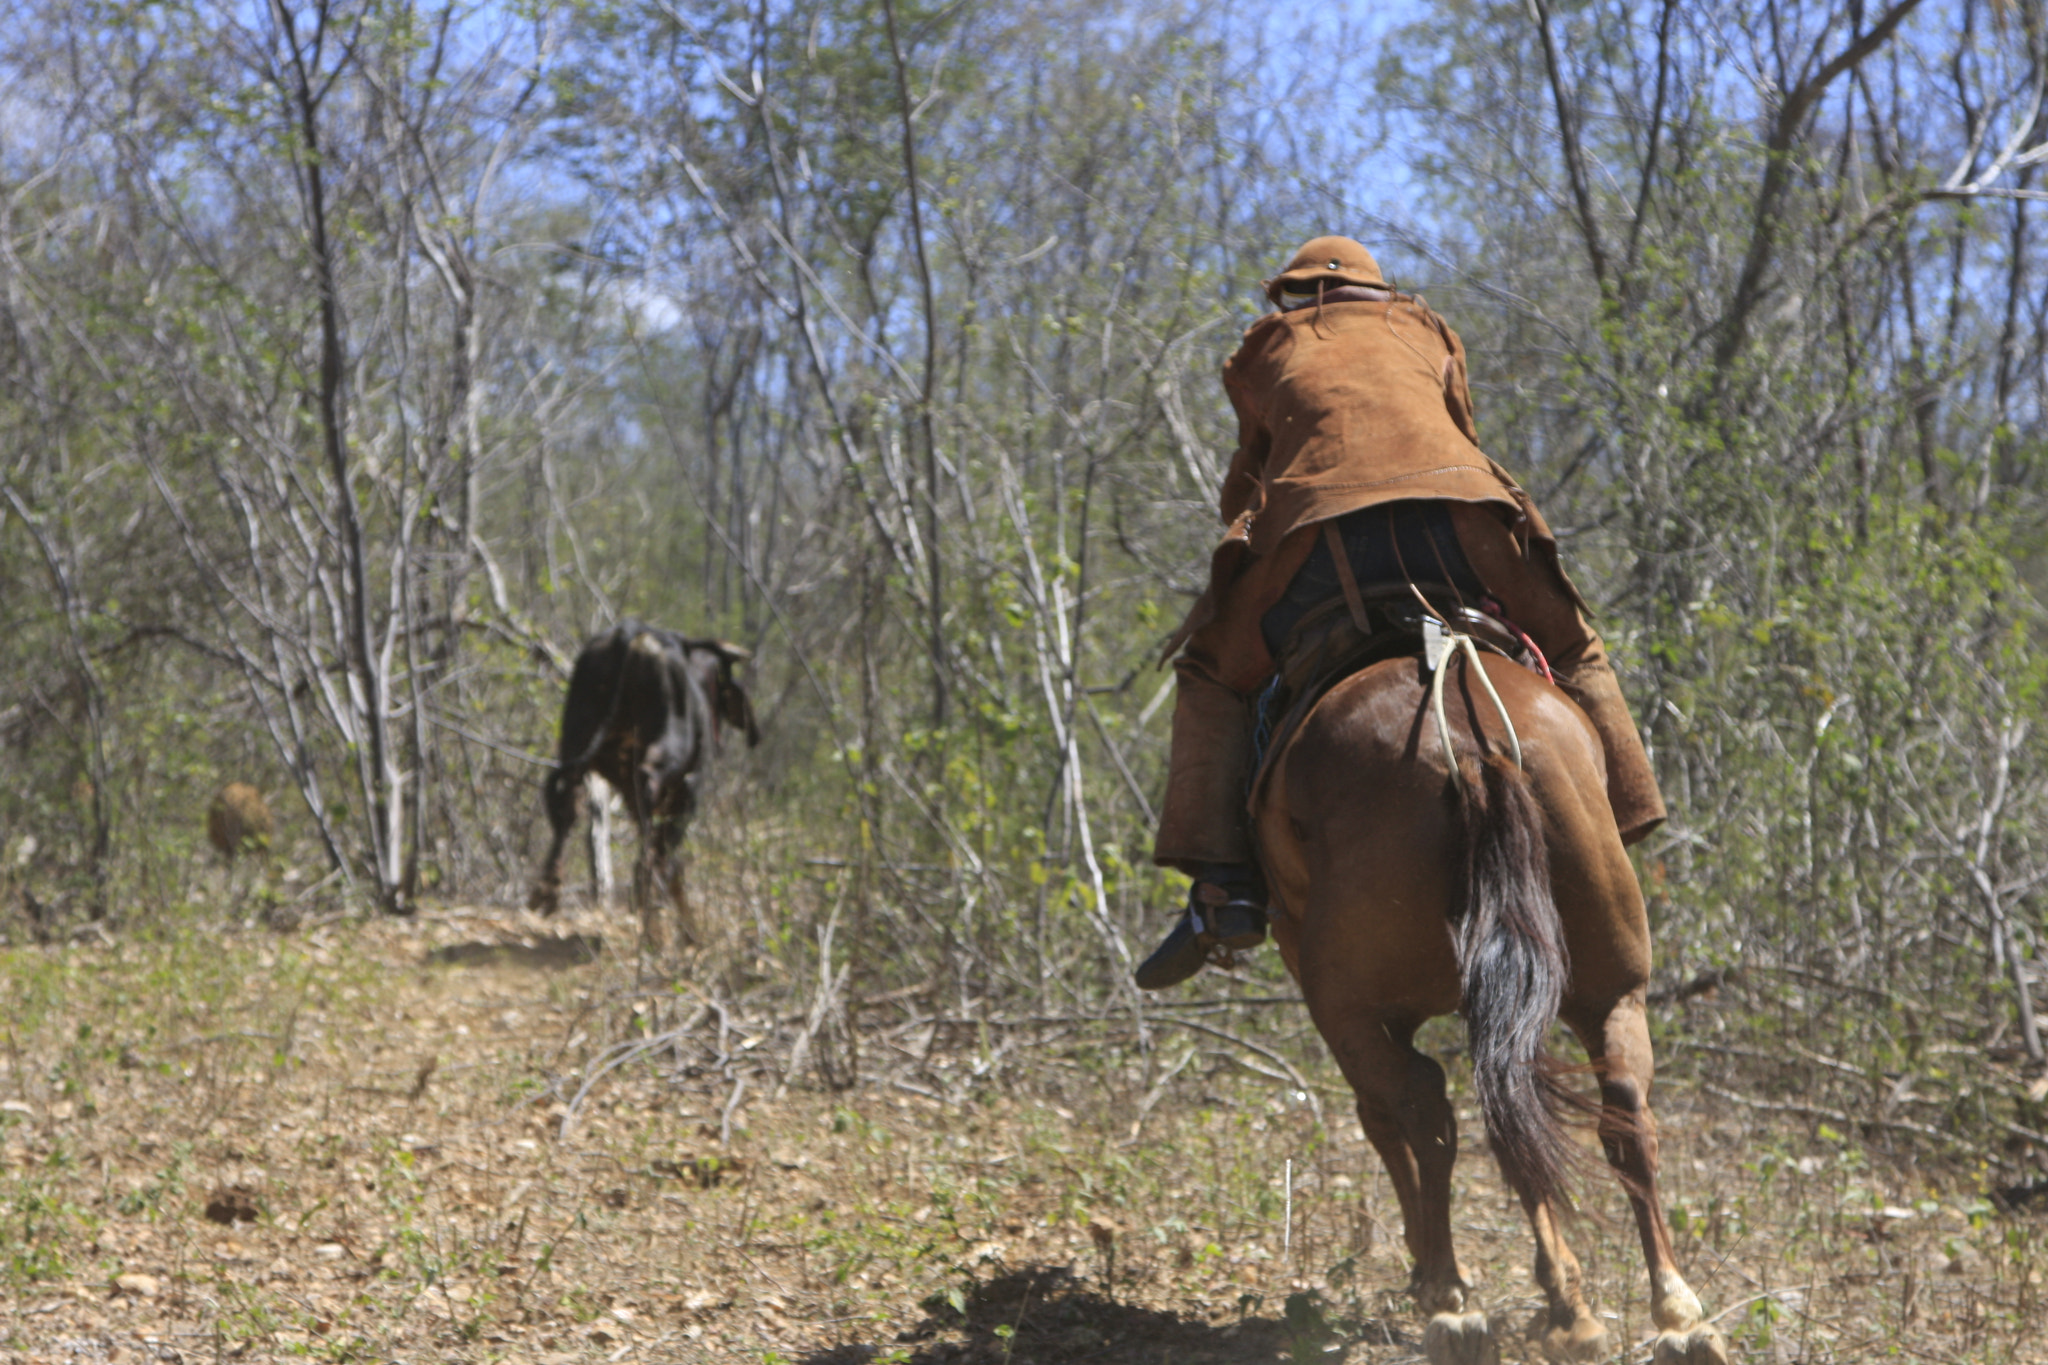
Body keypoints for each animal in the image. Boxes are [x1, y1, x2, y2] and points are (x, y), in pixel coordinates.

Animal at [528, 618, 761, 949]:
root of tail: (631, 633)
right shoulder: (687, 791)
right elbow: (670, 857)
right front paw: (684, 930)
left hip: (576, 739)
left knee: (566, 803)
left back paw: (547, 890)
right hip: (664, 754)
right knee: (649, 831)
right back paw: (649, 915)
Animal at [1261, 642, 1728, 1365]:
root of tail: (1469, 749)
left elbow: (1386, 1121)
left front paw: (1429, 1264)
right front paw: (1566, 1299)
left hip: (1354, 1009)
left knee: (1422, 1111)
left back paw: (1449, 1298)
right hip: (1611, 991)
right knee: (1619, 1111)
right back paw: (1672, 1309)